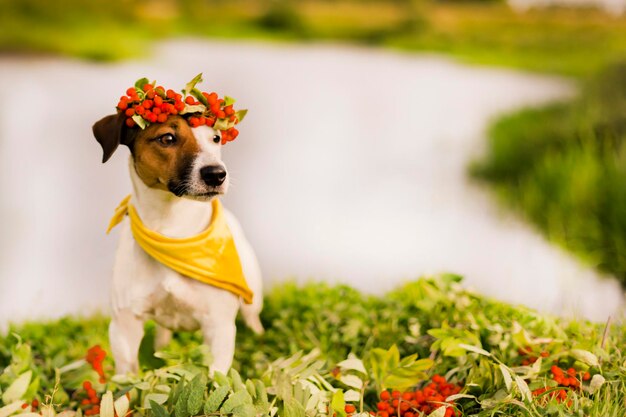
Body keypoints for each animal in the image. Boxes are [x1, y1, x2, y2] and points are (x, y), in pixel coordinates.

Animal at [91, 111, 262, 374]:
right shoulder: (124, 326)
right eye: (167, 138)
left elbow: (215, 377)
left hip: (252, 293)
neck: (173, 232)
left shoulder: (219, 326)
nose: (216, 174)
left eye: (216, 138)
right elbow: (127, 377)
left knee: (253, 319)